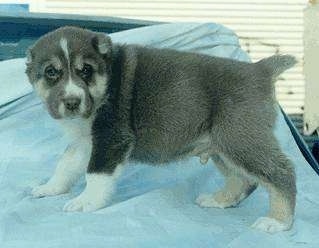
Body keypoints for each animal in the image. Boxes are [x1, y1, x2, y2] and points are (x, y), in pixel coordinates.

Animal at [26, 26, 298, 232]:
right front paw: (50, 188)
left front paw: (86, 202)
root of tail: (260, 69)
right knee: (242, 179)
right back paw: (218, 200)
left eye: (85, 70)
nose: (72, 102)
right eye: (51, 72)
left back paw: (278, 221)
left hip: (240, 138)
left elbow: (95, 174)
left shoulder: (111, 139)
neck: (106, 84)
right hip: (222, 146)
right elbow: (65, 166)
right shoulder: (86, 142)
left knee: (281, 172)